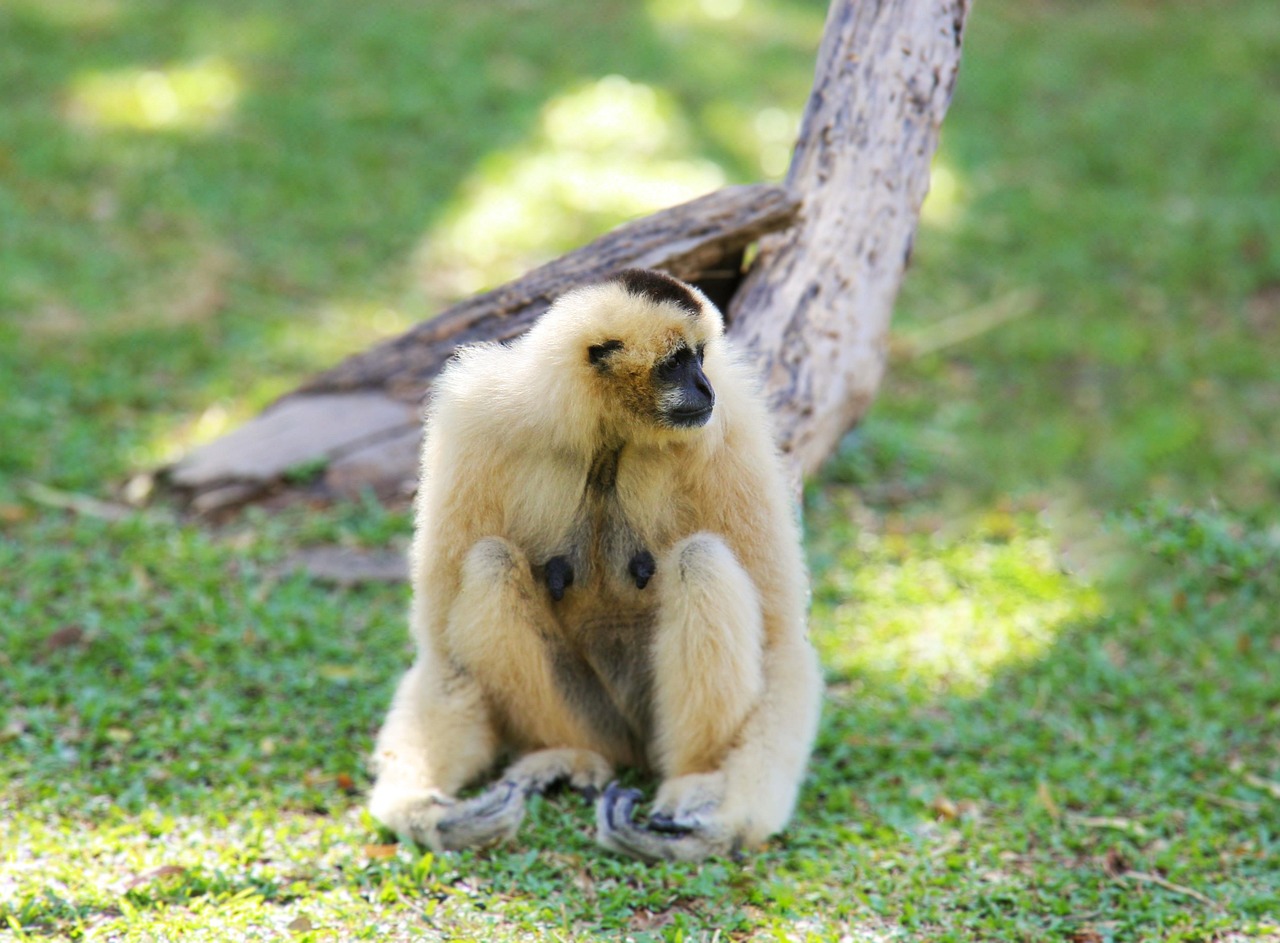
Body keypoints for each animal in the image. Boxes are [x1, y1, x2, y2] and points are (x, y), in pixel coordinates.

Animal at [368, 268, 822, 861]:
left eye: (702, 357)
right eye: (678, 362)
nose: (705, 388)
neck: (609, 435)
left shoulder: (731, 424)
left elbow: (781, 642)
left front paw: (721, 824)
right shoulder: (473, 422)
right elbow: (445, 659)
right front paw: (424, 812)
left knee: (702, 559)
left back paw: (691, 781)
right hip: (595, 720)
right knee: (490, 562)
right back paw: (564, 756)